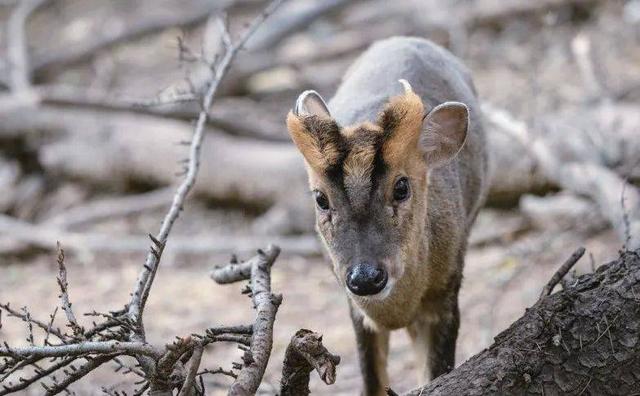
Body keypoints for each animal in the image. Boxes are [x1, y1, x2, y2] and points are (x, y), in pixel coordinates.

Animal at [288, 36, 488, 392]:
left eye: (402, 187)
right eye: (321, 199)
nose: (366, 278)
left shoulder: (447, 289)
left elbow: (437, 371)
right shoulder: (356, 310)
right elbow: (372, 380)